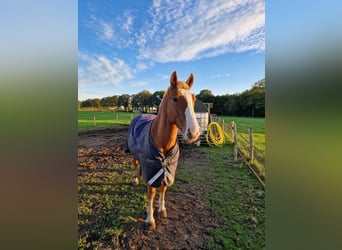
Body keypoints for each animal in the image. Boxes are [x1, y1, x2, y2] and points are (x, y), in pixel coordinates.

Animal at [126, 71, 200, 229]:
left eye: (193, 98)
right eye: (175, 99)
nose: (194, 132)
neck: (161, 141)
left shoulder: (168, 168)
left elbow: (163, 188)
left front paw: (162, 210)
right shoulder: (152, 170)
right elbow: (151, 193)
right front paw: (150, 220)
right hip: (134, 154)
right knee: (135, 164)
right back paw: (135, 179)